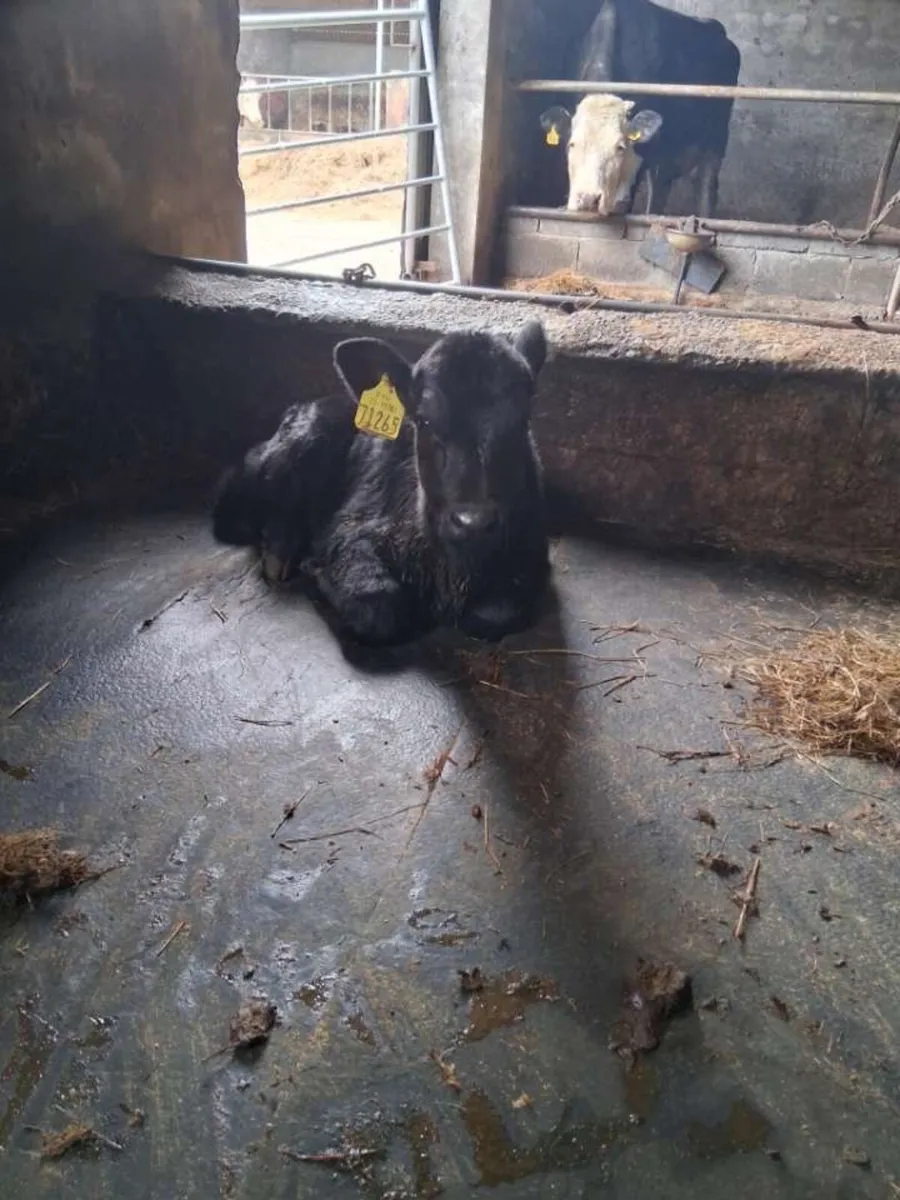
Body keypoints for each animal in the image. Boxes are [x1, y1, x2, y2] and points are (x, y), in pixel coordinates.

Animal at [212, 323, 551, 647]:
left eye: (522, 421)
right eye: (424, 420)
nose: (473, 521)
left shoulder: (531, 555)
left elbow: (491, 616)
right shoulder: (350, 527)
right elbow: (378, 605)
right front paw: (316, 569)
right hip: (294, 445)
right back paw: (280, 550)